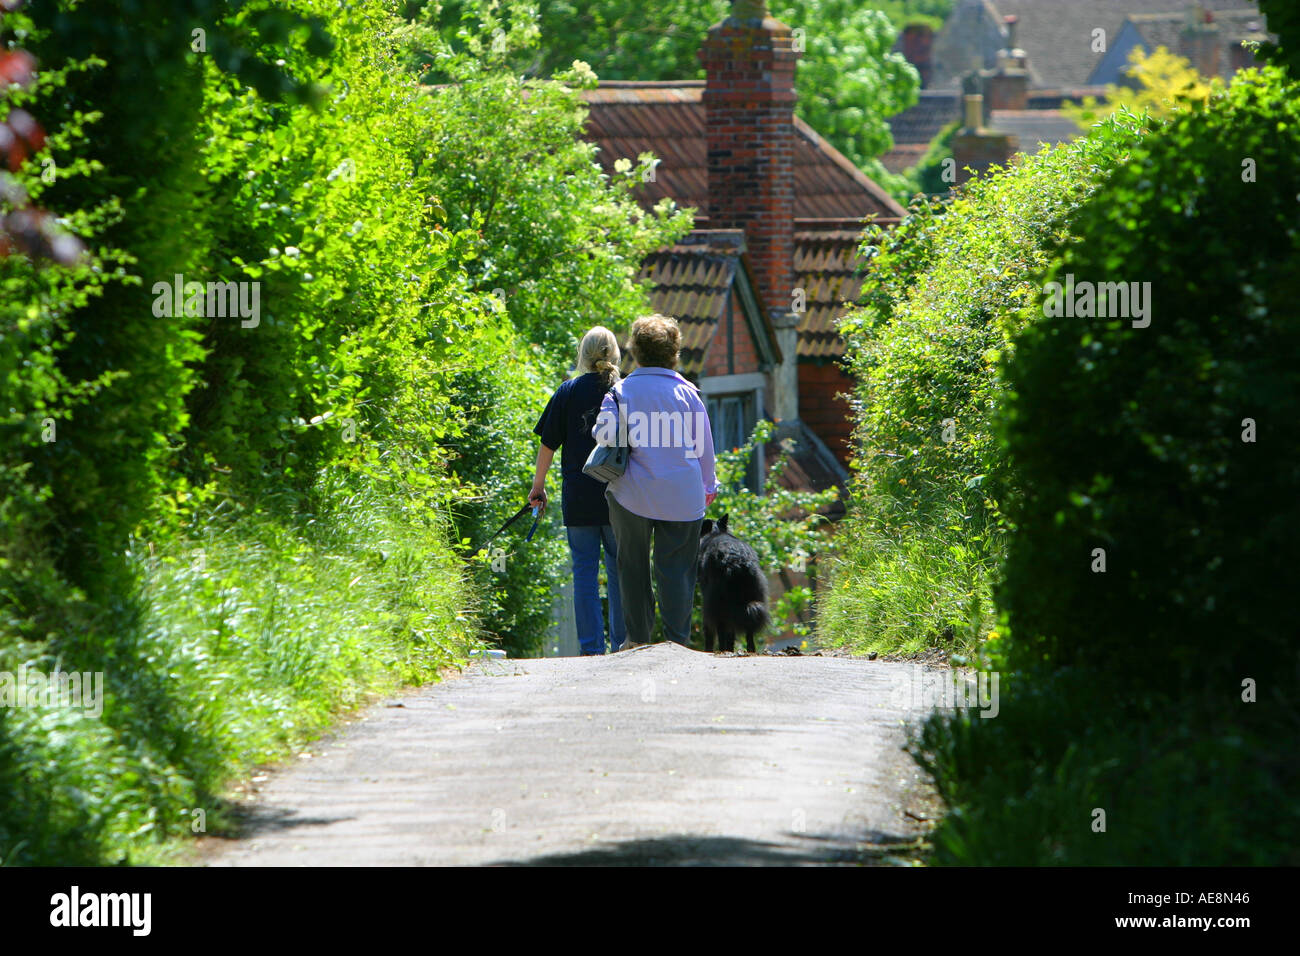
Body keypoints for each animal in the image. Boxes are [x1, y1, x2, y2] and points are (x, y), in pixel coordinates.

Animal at [702, 515, 769, 658]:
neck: (715, 532)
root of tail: (736, 558)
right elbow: (731, 633)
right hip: (751, 598)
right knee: (749, 627)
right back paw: (749, 650)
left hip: (717, 603)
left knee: (721, 628)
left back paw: (722, 650)